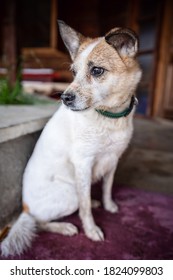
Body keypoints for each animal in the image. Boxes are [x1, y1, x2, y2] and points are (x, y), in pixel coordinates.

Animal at [0, 20, 141, 256]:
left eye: (96, 70)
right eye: (73, 72)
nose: (64, 98)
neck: (109, 116)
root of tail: (25, 208)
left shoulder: (113, 160)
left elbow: (107, 188)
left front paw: (108, 205)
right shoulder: (84, 164)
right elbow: (84, 207)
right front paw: (91, 230)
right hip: (70, 193)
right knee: (40, 222)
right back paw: (64, 227)